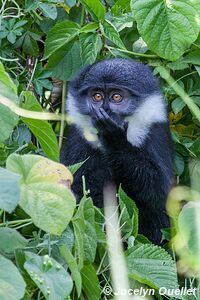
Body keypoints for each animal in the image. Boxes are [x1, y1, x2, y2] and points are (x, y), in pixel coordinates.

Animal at [60, 58, 173, 244]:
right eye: (97, 96)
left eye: (116, 97)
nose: (105, 111)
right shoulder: (77, 139)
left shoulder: (157, 132)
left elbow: (161, 193)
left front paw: (115, 141)